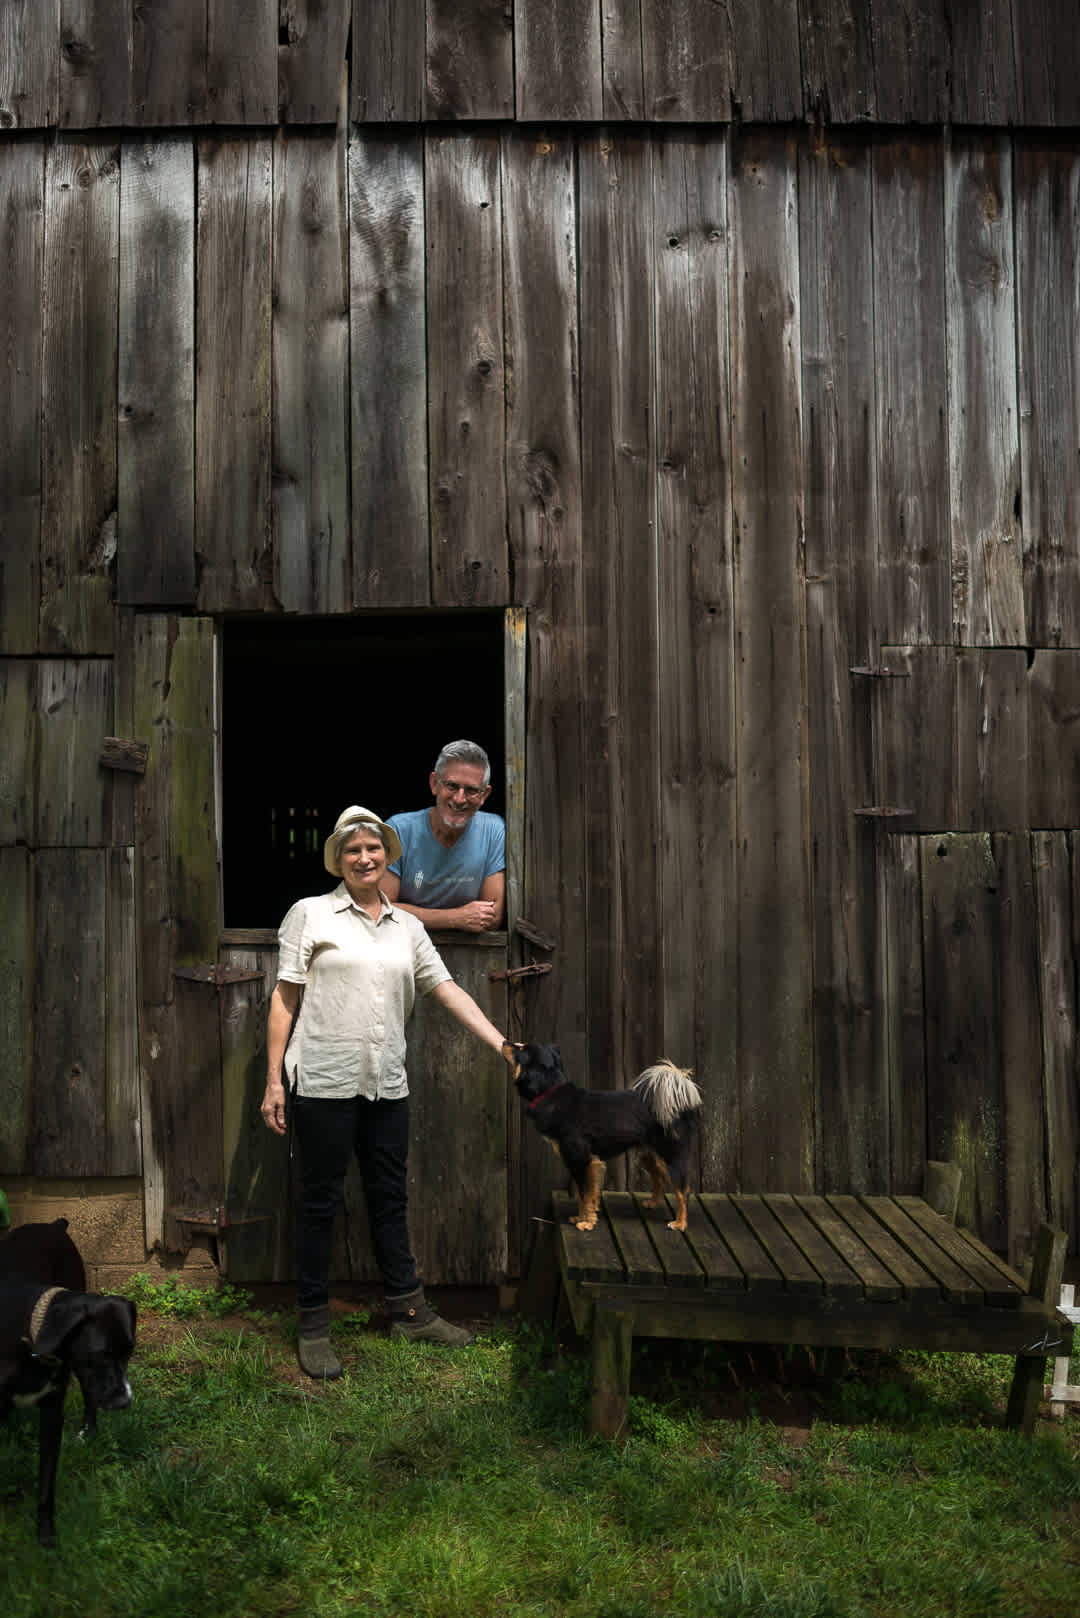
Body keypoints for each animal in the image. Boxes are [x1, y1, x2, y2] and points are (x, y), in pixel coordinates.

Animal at [0, 1216, 136, 1546]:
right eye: (100, 1354)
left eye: (130, 1352)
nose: (124, 1401)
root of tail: (53, 1223)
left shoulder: (52, 1415)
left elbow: (46, 1484)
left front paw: (46, 1537)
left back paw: (89, 1430)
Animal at [505, 1041, 705, 1229]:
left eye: (521, 1049)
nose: (506, 1042)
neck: (552, 1093)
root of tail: (680, 1104)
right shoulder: (585, 1163)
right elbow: (586, 1194)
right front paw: (583, 1217)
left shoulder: (581, 1160)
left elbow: (584, 1193)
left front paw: (586, 1223)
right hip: (649, 1155)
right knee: (659, 1177)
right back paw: (654, 1203)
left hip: (671, 1156)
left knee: (683, 1190)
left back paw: (680, 1223)